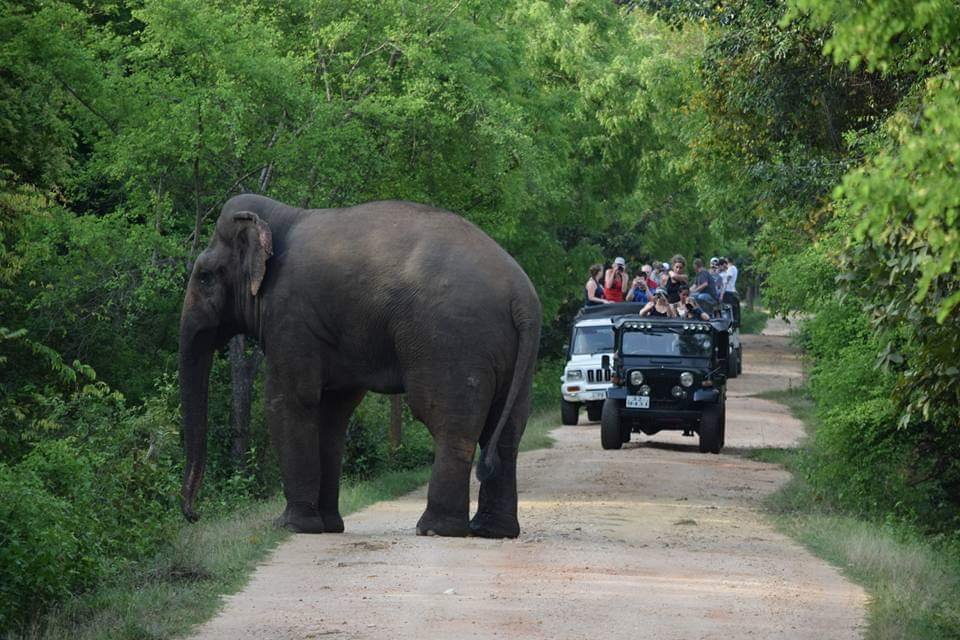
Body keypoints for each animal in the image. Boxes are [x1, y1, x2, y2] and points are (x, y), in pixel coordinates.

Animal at [179, 194, 541, 538]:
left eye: (205, 277)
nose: (194, 515)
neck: (281, 217)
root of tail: (520, 297)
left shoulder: (290, 316)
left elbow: (289, 401)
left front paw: (290, 526)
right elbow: (332, 412)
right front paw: (327, 526)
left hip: (453, 342)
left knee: (449, 423)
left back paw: (435, 529)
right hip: (513, 356)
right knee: (507, 433)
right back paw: (492, 532)